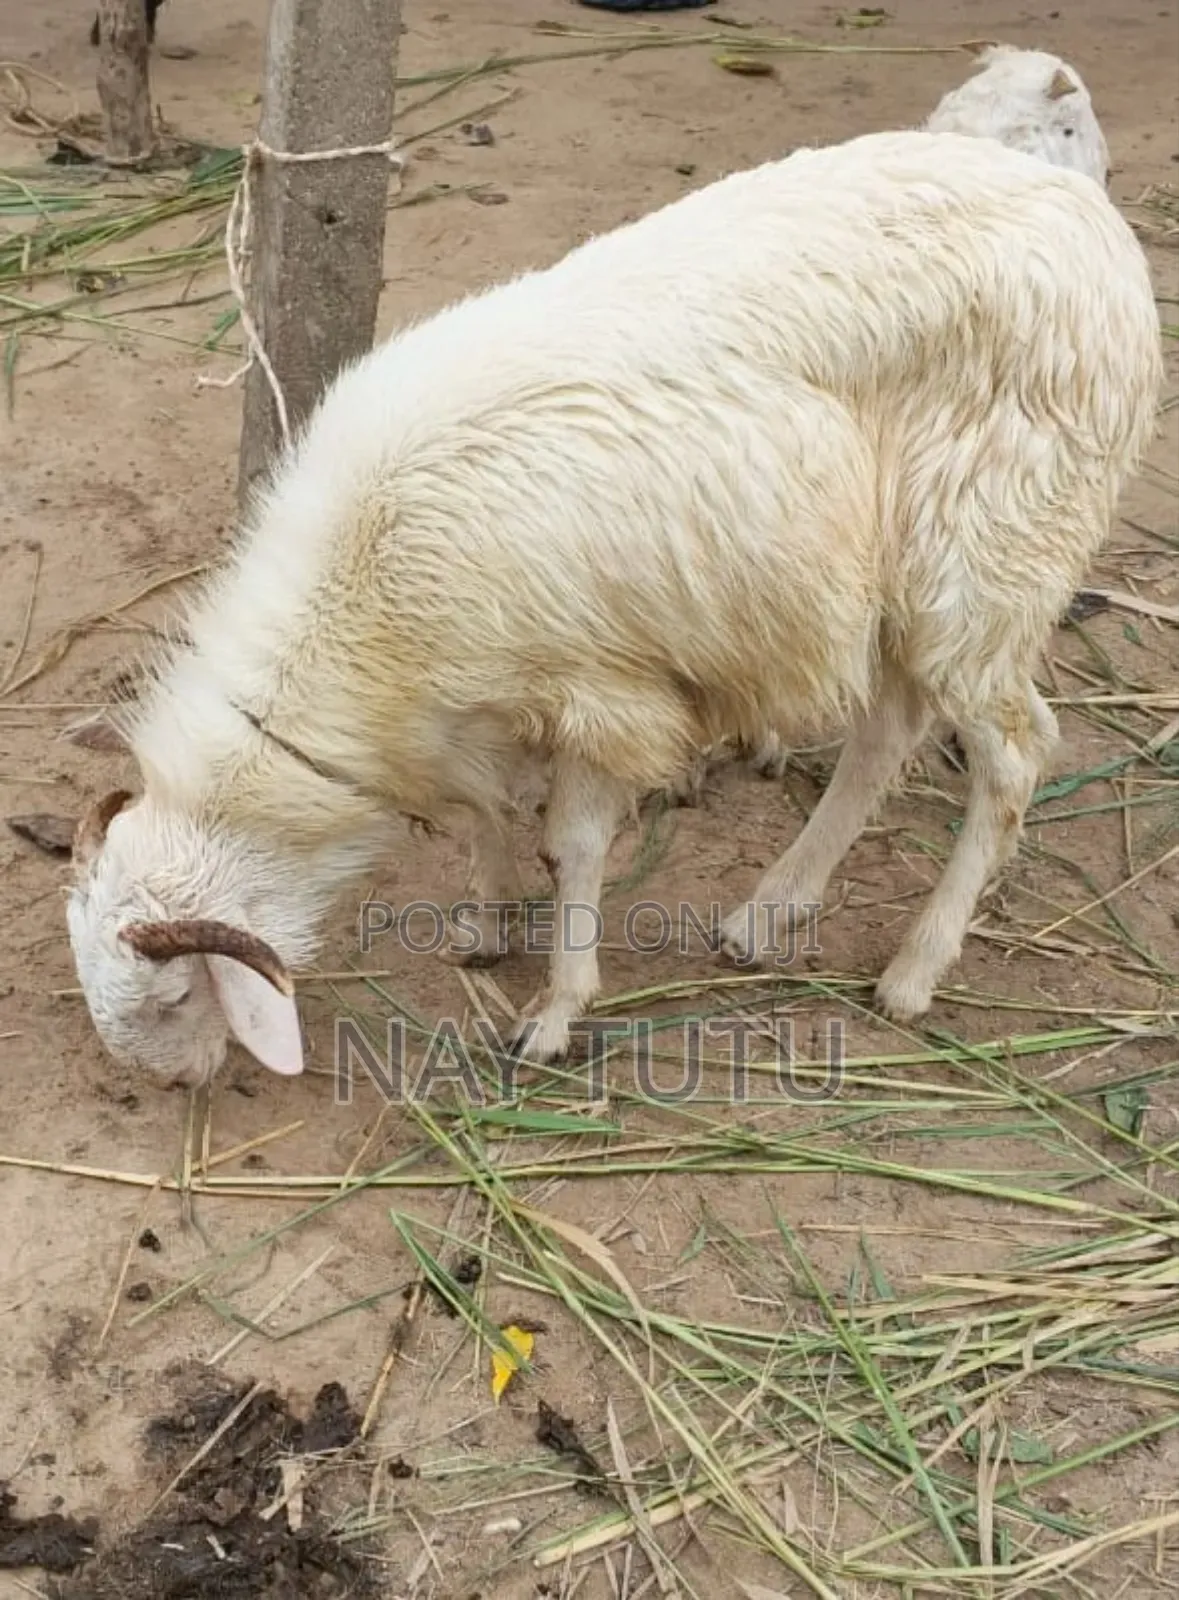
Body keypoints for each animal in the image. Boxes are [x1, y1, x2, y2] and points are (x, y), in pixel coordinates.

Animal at [66, 127, 1161, 1089]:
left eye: (173, 997)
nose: (170, 1087)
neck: (359, 599)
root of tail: (1092, 221)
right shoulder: (478, 695)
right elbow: (480, 806)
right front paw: (484, 925)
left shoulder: (605, 689)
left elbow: (572, 847)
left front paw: (554, 1012)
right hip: (903, 581)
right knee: (889, 729)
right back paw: (771, 910)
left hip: (990, 556)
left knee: (1015, 752)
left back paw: (914, 970)